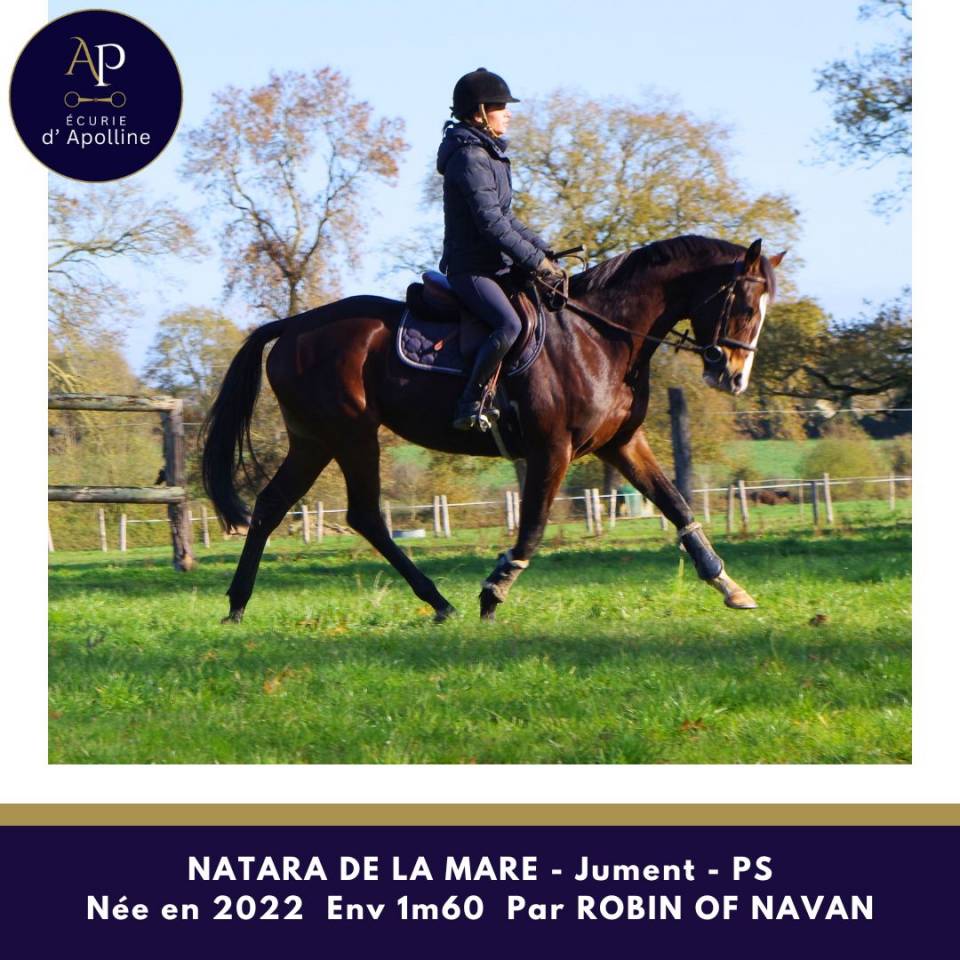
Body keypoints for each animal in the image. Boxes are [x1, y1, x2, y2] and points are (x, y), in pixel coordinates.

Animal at [202, 234, 784, 623]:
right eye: (743, 303)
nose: (732, 376)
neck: (600, 336)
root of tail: (295, 326)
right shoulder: (553, 449)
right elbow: (532, 528)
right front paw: (493, 591)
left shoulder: (622, 444)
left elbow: (677, 506)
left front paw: (729, 586)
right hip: (351, 436)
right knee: (362, 515)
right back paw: (439, 602)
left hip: (315, 440)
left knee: (274, 506)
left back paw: (238, 605)